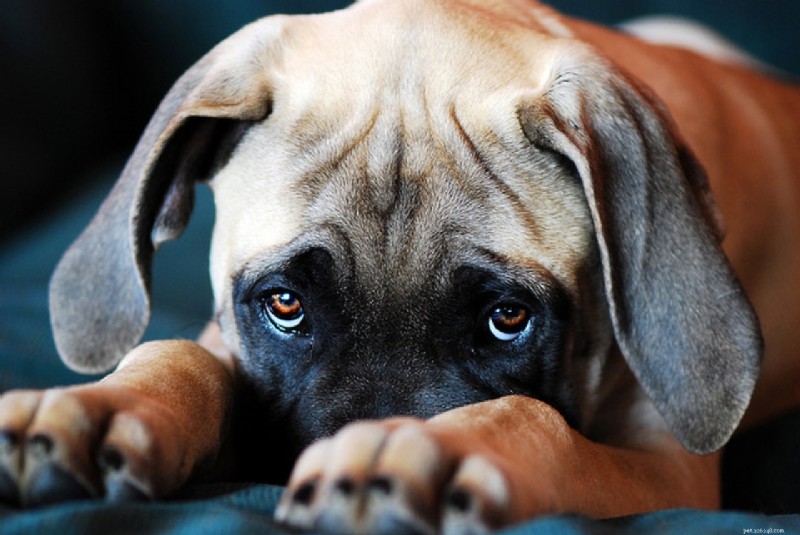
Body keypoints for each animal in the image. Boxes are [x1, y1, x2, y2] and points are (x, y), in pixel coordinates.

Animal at [1, 0, 800, 532]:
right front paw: (95, 407)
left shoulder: (668, 464)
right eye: (284, 304)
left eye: (507, 319)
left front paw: (427, 447)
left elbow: (539, 421)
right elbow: (180, 355)